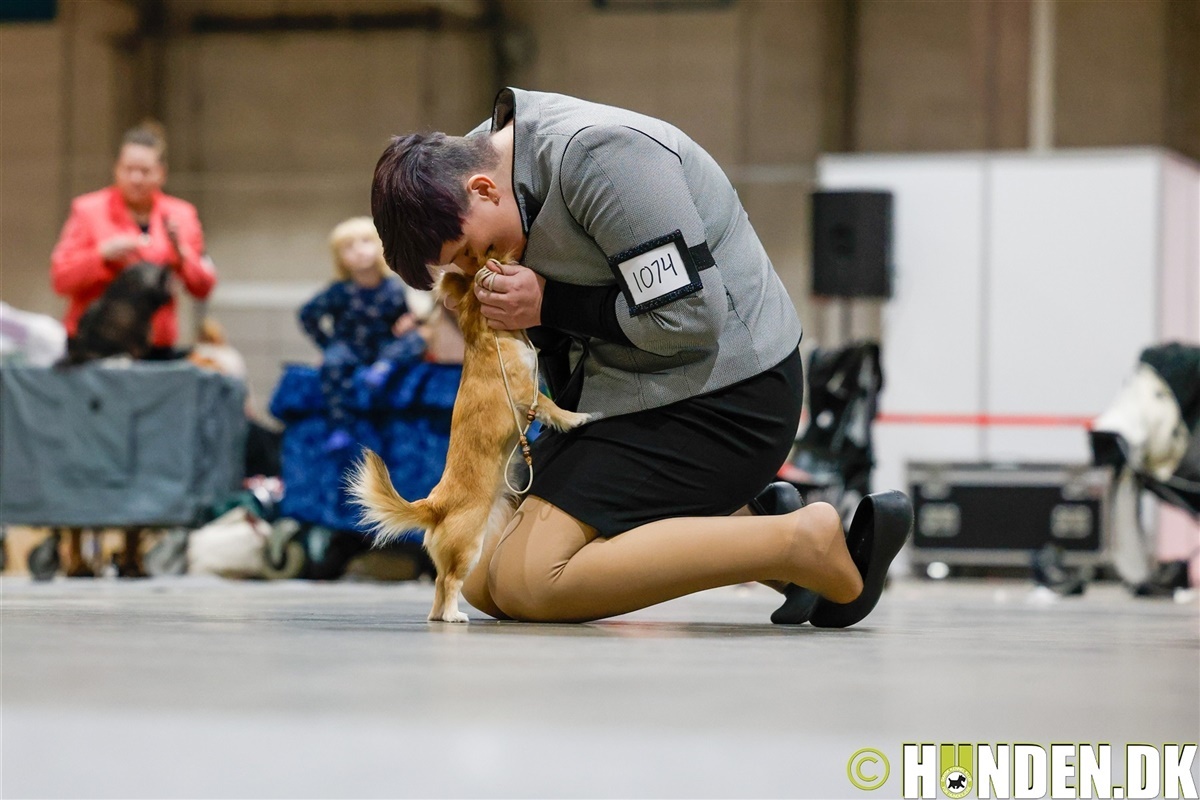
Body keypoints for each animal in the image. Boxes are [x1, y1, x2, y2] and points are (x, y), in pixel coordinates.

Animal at [348, 258, 591, 622]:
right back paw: (453, 616)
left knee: (438, 582)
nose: (506, 260)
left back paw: (439, 616)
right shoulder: (528, 394)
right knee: (449, 581)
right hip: (470, 547)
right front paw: (577, 418)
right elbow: (553, 409)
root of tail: (435, 505)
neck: (487, 335)